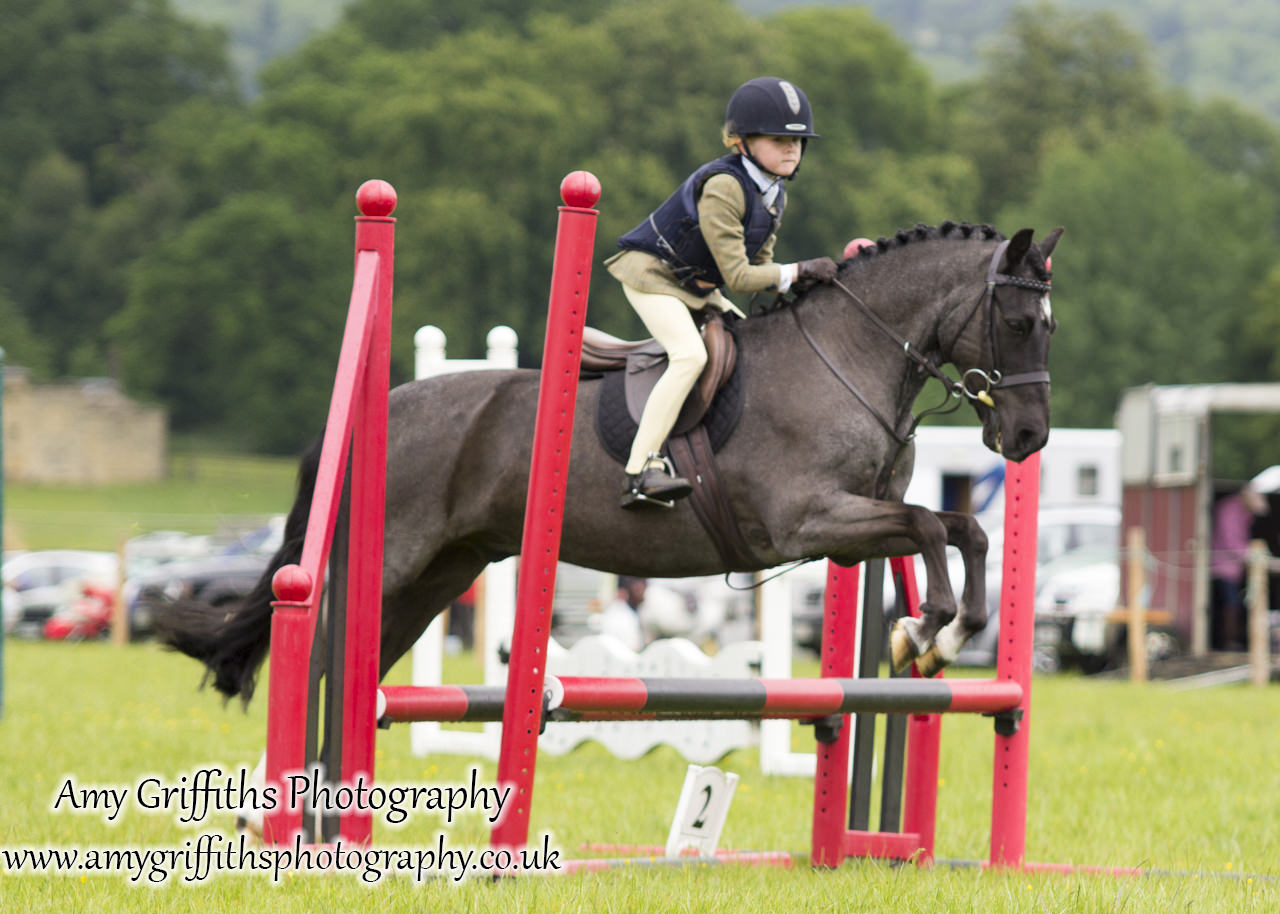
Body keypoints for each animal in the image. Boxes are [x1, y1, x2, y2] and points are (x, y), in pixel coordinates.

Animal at [157, 217, 1059, 701]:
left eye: (1048, 326)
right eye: (1020, 324)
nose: (1028, 441)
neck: (849, 355)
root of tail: (367, 417)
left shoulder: (852, 528)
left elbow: (962, 530)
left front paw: (939, 640)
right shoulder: (810, 521)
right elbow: (930, 528)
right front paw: (925, 629)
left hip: (440, 574)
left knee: (357, 672)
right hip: (385, 565)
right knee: (317, 662)